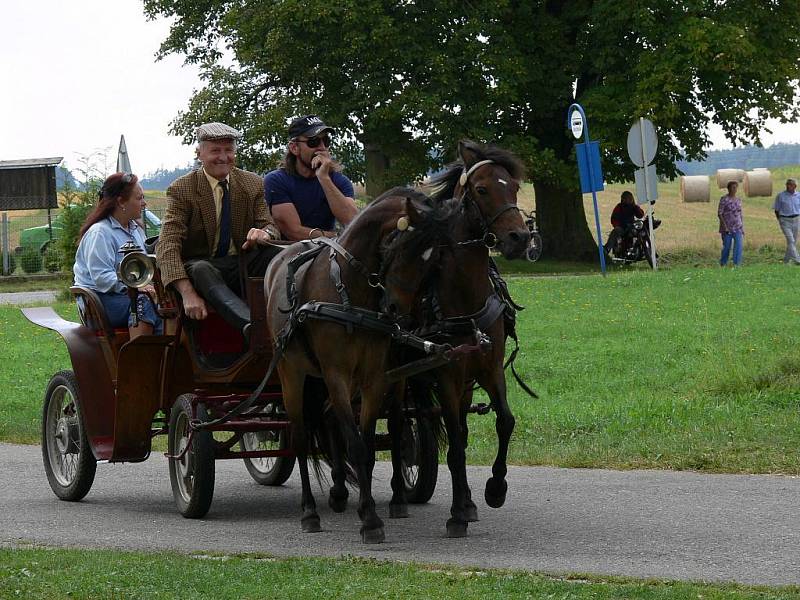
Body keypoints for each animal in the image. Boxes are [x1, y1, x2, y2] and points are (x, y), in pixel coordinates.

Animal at [266, 189, 460, 544]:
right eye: (402, 248)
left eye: (434, 261)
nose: (396, 310)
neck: (348, 290)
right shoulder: (336, 375)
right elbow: (354, 444)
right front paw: (369, 520)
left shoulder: (373, 377)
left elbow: (366, 446)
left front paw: (368, 511)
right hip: (291, 373)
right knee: (300, 437)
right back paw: (309, 512)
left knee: (329, 419)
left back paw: (339, 494)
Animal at [398, 139, 532, 536]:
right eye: (482, 189)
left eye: (513, 186)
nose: (520, 238)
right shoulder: (446, 375)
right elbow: (456, 442)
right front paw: (457, 513)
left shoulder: (489, 369)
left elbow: (504, 421)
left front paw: (494, 489)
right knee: (400, 429)